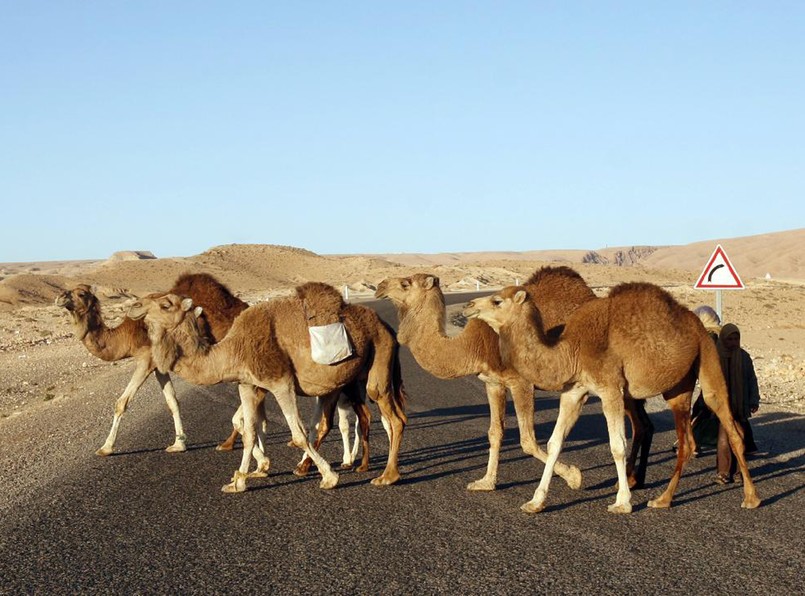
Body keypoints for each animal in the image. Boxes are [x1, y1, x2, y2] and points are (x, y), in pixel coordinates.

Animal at [130, 282, 408, 492]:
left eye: (165, 304)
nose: (133, 305)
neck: (234, 348)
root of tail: (387, 327)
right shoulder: (247, 385)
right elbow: (249, 431)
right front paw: (239, 482)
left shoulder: (280, 381)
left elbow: (297, 434)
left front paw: (329, 477)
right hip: (350, 377)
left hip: (379, 356)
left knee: (392, 416)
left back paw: (387, 476)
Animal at [464, 280, 760, 512]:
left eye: (497, 300)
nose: (469, 305)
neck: (572, 350)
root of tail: (699, 325)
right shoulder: (575, 390)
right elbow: (554, 442)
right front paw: (536, 502)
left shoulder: (610, 389)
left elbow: (617, 445)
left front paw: (622, 502)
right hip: (679, 386)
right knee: (687, 442)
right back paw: (663, 499)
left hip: (709, 358)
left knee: (727, 422)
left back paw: (751, 498)